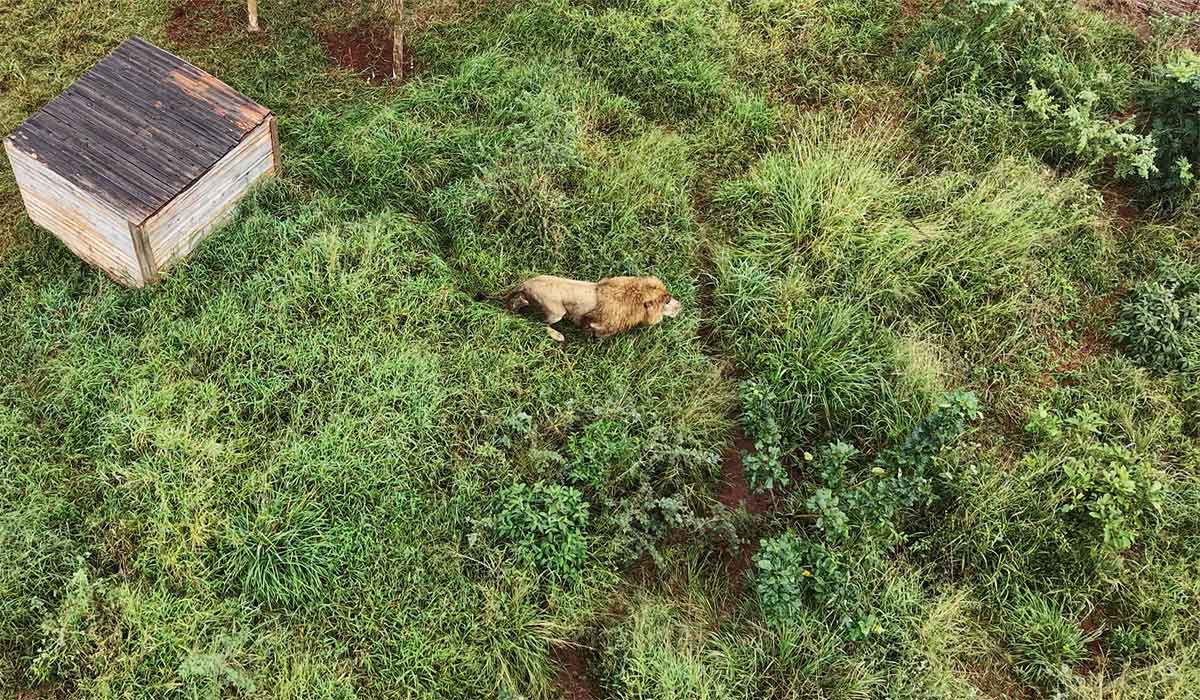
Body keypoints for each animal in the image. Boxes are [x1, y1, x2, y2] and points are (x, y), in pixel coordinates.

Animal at [503, 275, 682, 341]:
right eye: (667, 300)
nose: (680, 306)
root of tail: (526, 283)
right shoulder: (597, 322)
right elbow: (593, 330)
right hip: (556, 312)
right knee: (538, 323)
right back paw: (558, 336)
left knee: (519, 301)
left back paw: (512, 308)